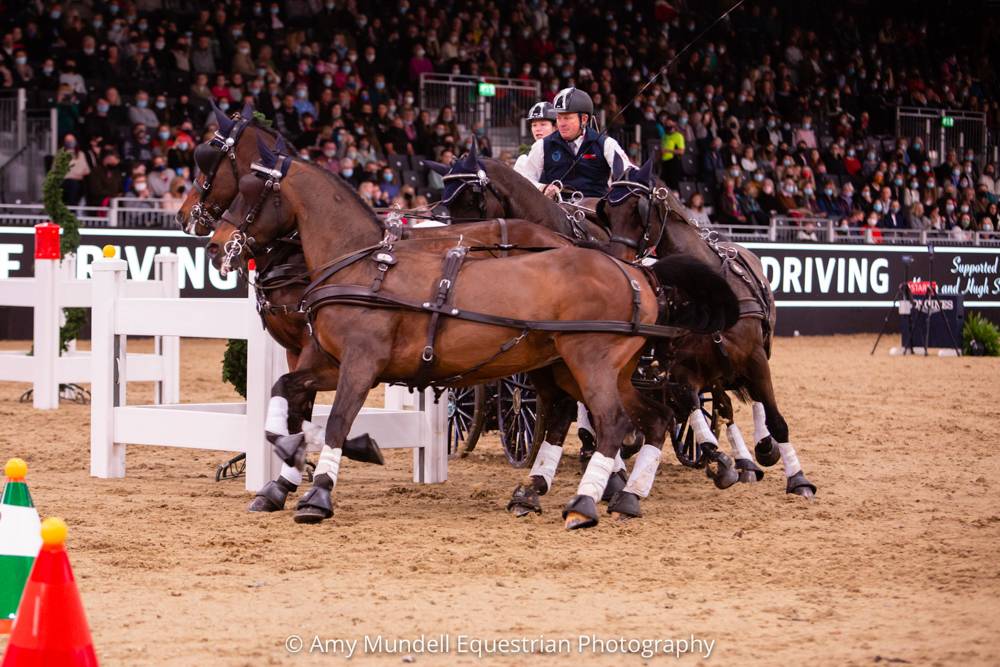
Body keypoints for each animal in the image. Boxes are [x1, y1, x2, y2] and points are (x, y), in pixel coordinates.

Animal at [209, 142, 740, 530]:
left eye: (252, 192)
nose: (214, 247)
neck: (364, 264)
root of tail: (635, 271)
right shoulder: (328, 362)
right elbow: (285, 396)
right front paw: (289, 467)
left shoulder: (360, 363)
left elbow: (337, 420)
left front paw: (318, 492)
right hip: (586, 368)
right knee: (646, 419)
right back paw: (617, 496)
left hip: (589, 362)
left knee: (612, 423)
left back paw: (585, 504)